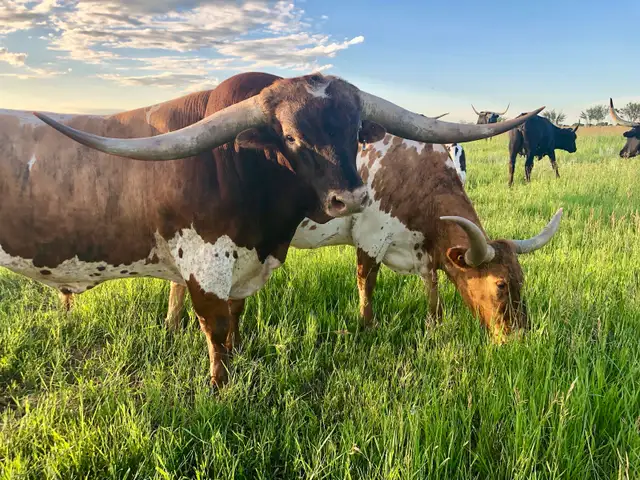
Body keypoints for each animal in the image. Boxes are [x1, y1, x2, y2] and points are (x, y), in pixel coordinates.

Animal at [163, 134, 562, 343]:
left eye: (521, 280)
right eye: (499, 285)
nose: (520, 338)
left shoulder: (424, 248)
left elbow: (432, 285)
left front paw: (434, 325)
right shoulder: (370, 235)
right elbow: (366, 282)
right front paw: (368, 328)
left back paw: (172, 324)